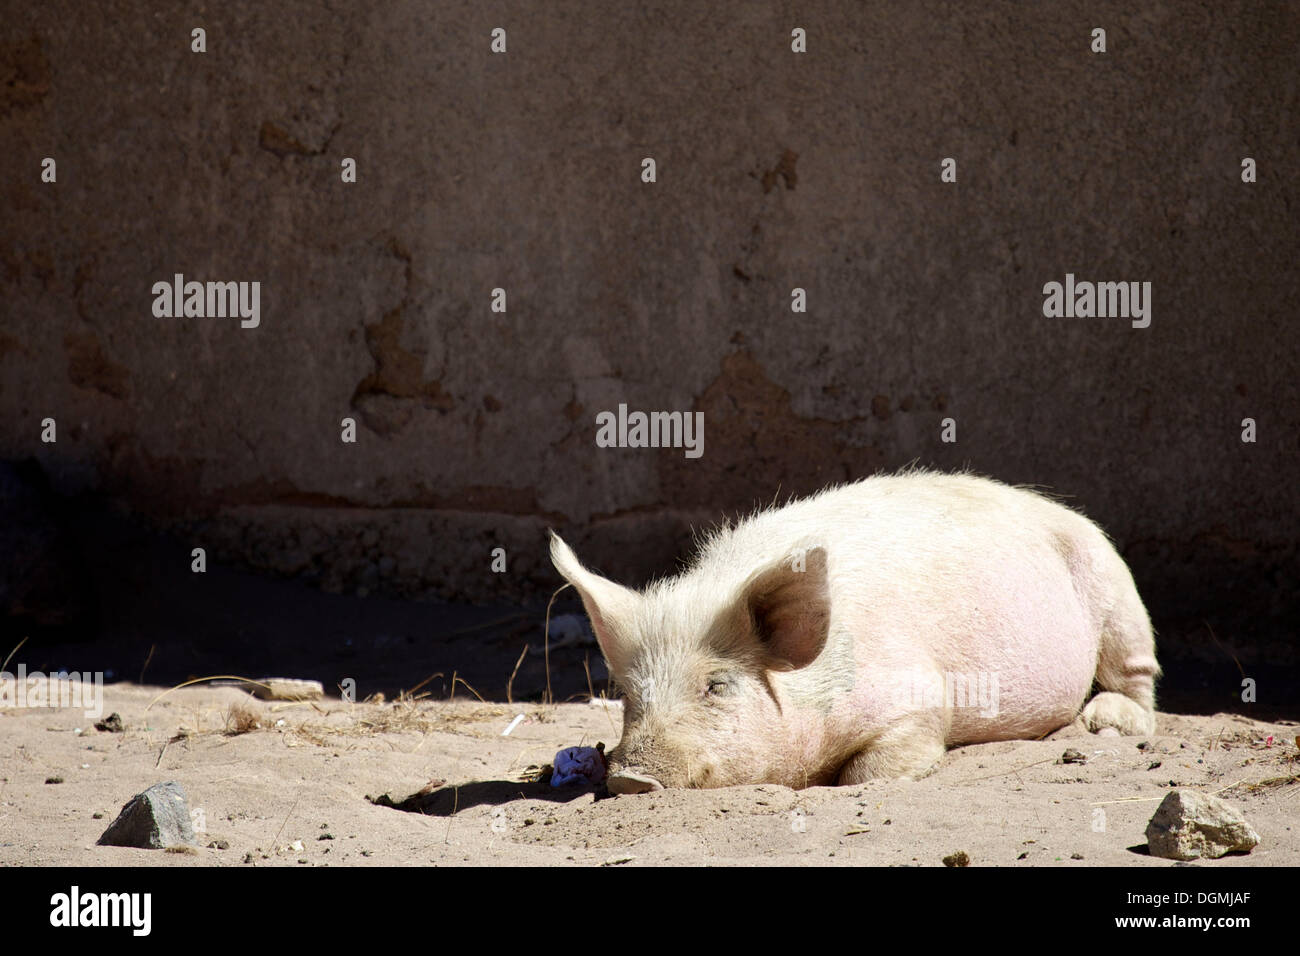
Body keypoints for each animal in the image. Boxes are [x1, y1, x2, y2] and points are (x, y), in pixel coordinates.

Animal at [548, 470, 1159, 790]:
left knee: (1139, 682)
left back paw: (1102, 722)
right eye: (627, 694)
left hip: (1117, 593)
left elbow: (869, 773)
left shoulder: (917, 701)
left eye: (716, 685)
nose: (633, 777)